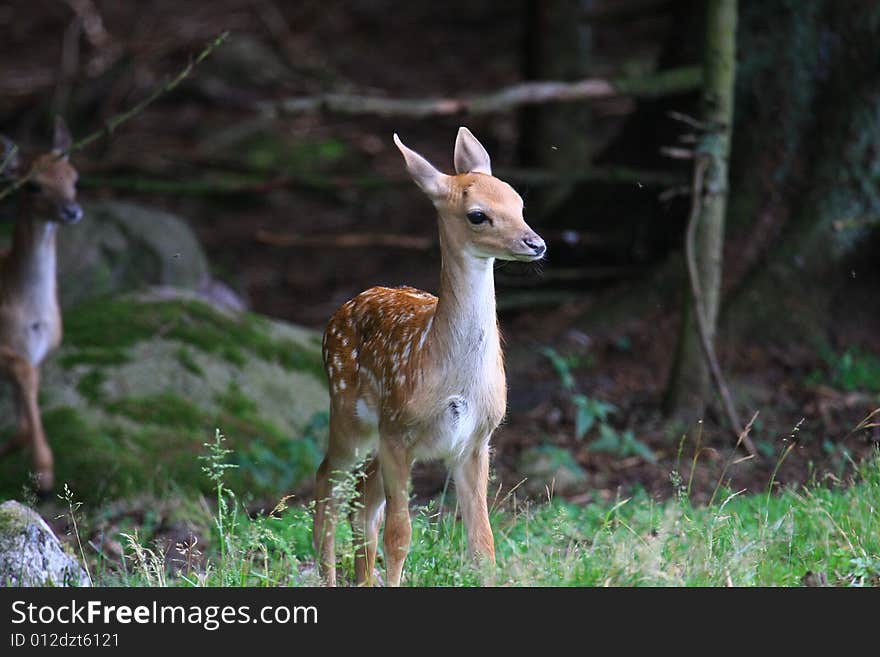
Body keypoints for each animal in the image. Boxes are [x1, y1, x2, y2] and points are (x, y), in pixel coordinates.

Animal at [316, 127, 544, 584]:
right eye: (478, 215)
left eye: (518, 202)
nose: (536, 243)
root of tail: (344, 307)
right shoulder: (398, 431)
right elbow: (400, 536)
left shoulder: (476, 441)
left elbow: (483, 542)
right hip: (348, 412)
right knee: (328, 486)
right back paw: (326, 575)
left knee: (361, 501)